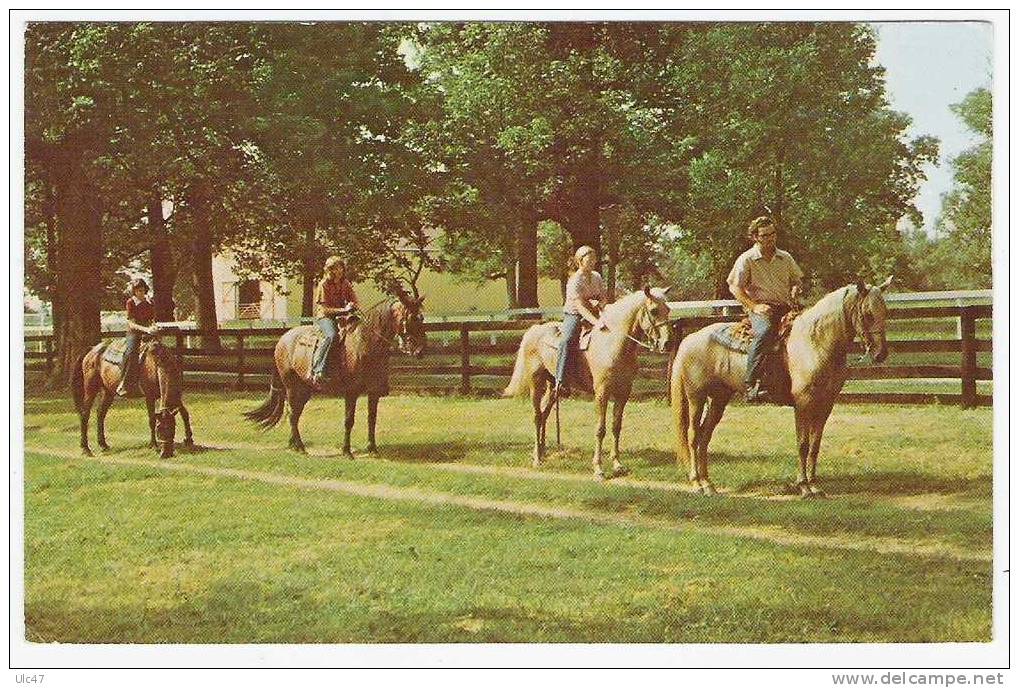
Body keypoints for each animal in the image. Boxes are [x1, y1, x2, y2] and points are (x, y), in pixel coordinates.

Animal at [245, 291, 425, 456]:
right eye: (412, 318)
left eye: (421, 318)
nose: (420, 350)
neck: (365, 343)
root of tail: (282, 340)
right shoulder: (351, 392)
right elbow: (349, 420)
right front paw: (346, 451)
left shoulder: (374, 392)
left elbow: (372, 419)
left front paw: (372, 449)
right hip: (291, 387)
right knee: (292, 414)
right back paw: (300, 447)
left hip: (304, 389)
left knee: (294, 414)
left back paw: (293, 444)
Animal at [503, 285, 676, 479]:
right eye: (653, 311)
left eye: (668, 309)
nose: (668, 343)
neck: (613, 344)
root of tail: (533, 331)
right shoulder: (602, 392)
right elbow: (600, 429)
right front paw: (598, 469)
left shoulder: (623, 392)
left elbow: (616, 426)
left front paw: (617, 464)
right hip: (536, 383)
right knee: (536, 416)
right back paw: (537, 459)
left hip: (553, 386)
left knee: (544, 415)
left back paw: (541, 452)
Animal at [668, 277, 892, 497]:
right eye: (868, 314)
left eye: (885, 312)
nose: (881, 353)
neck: (815, 342)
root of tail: (689, 339)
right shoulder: (803, 403)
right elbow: (803, 444)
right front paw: (803, 486)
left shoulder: (826, 403)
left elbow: (815, 445)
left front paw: (814, 485)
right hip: (696, 397)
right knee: (693, 436)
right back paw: (697, 483)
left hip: (718, 398)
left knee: (704, 436)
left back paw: (708, 484)